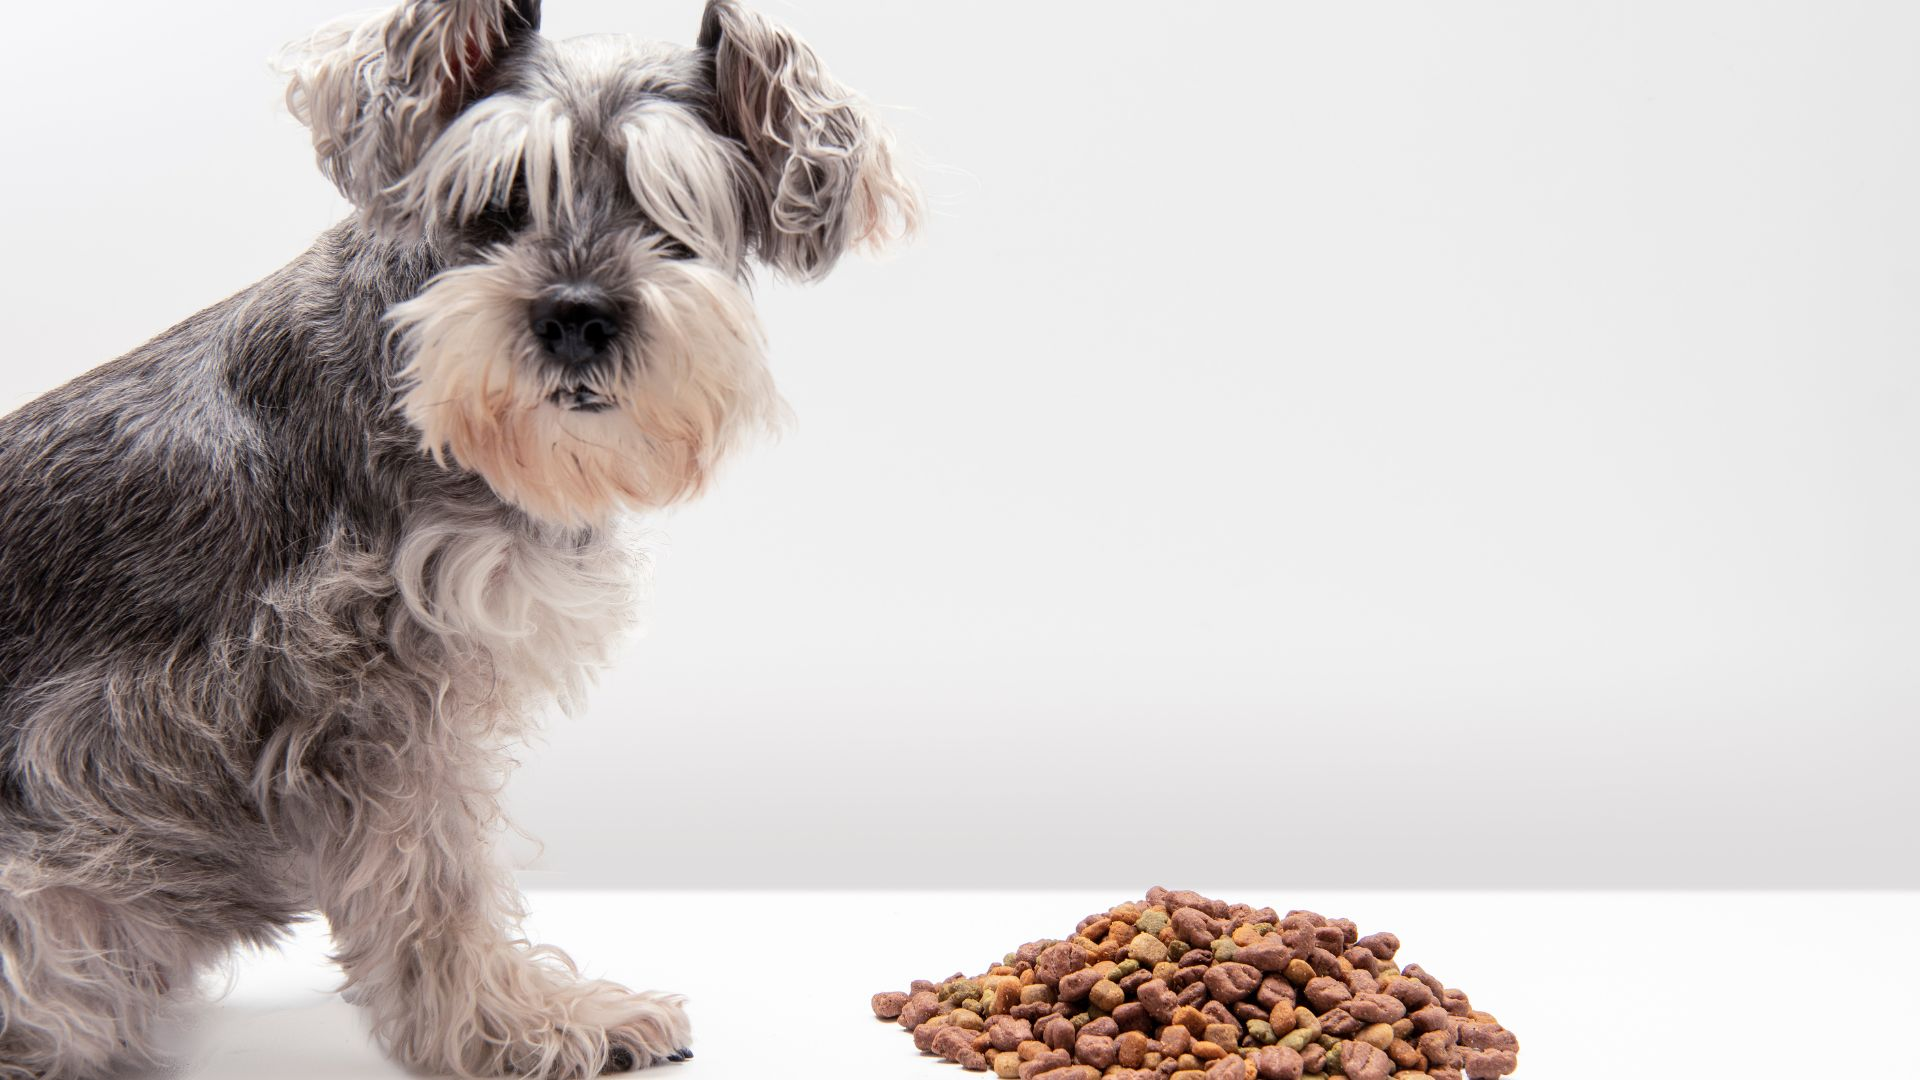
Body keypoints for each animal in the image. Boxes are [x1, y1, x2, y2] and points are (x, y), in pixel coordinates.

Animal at [0, 2, 921, 1068]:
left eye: (673, 213)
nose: (577, 316)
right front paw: (525, 1027)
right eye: (499, 201)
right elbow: (433, 883)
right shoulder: (367, 697)